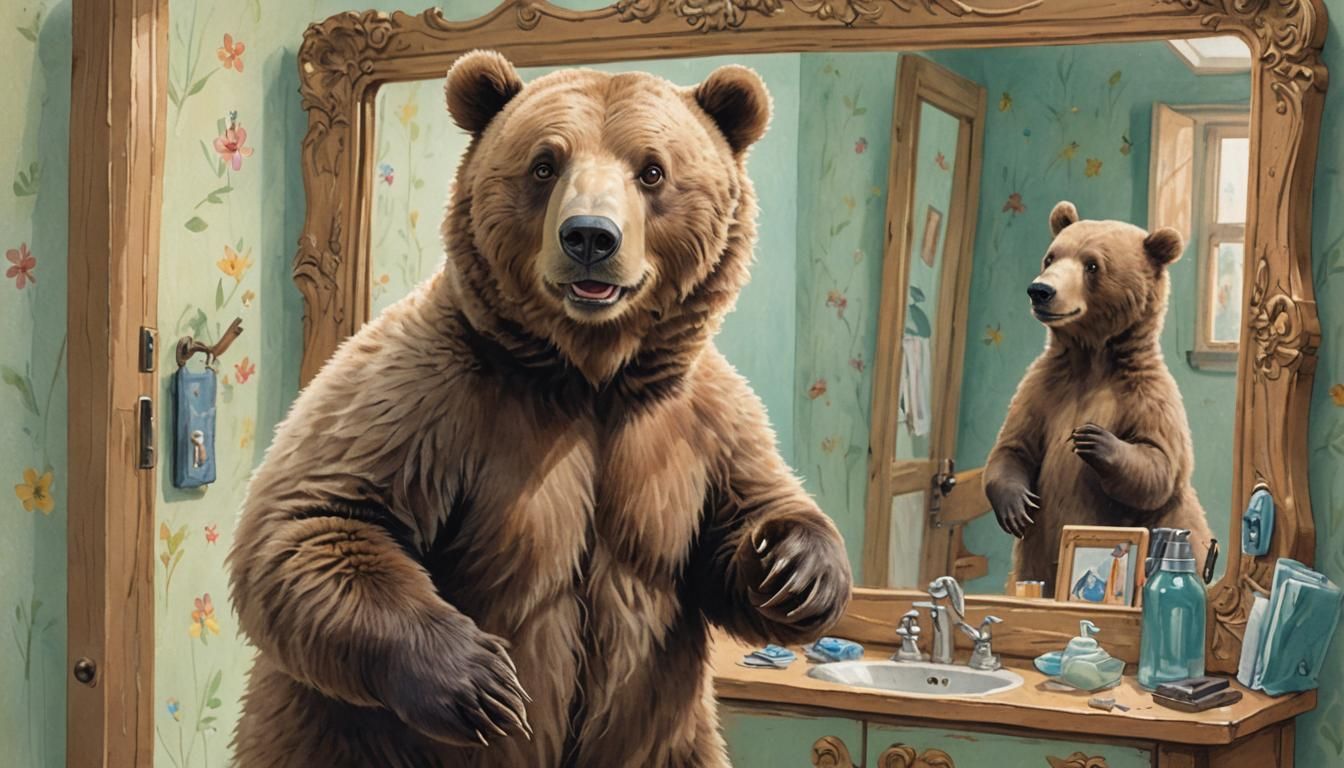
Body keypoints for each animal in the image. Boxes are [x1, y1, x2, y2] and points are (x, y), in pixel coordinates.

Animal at [227, 51, 851, 768]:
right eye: (545, 164)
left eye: (652, 170)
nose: (590, 237)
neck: (589, 375)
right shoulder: (430, 392)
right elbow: (319, 517)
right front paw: (479, 681)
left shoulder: (698, 418)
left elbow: (738, 515)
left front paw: (800, 569)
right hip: (337, 735)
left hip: (674, 737)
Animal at [983, 200, 1214, 594]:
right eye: (1051, 256)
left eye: (1092, 265)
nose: (1040, 290)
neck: (1091, 360)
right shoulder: (1042, 389)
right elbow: (1013, 445)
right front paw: (1016, 506)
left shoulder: (1149, 396)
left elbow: (1158, 463)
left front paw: (1092, 439)